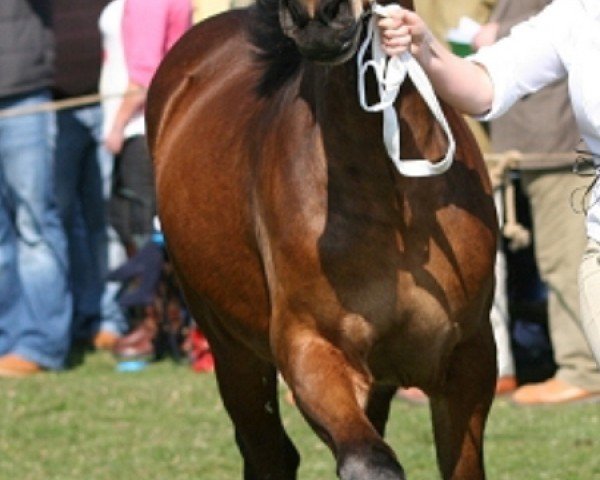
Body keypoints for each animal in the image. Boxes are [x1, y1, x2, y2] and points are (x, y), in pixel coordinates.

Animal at [145, 1, 496, 478]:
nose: (316, 19)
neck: (394, 199)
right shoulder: (311, 347)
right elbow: (370, 463)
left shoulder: (468, 359)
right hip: (231, 350)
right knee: (268, 453)